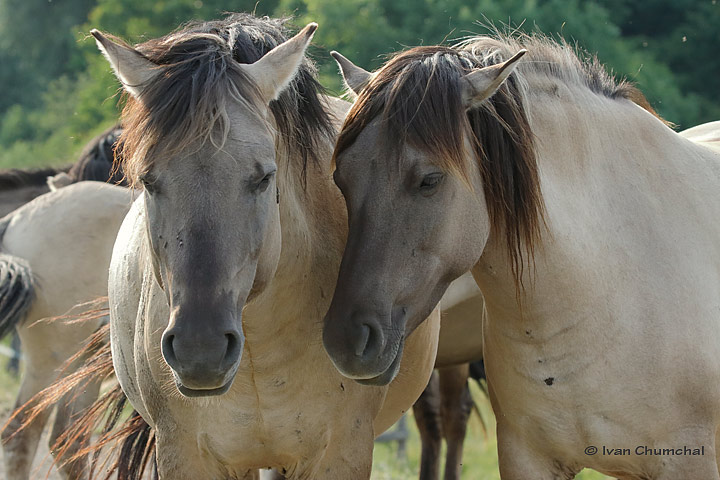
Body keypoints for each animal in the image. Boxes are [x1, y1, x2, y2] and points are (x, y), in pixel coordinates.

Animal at [96, 13, 438, 478]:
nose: (200, 348)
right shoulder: (185, 454)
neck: (260, 351)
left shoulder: (339, 452)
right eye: (148, 180)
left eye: (263, 178)